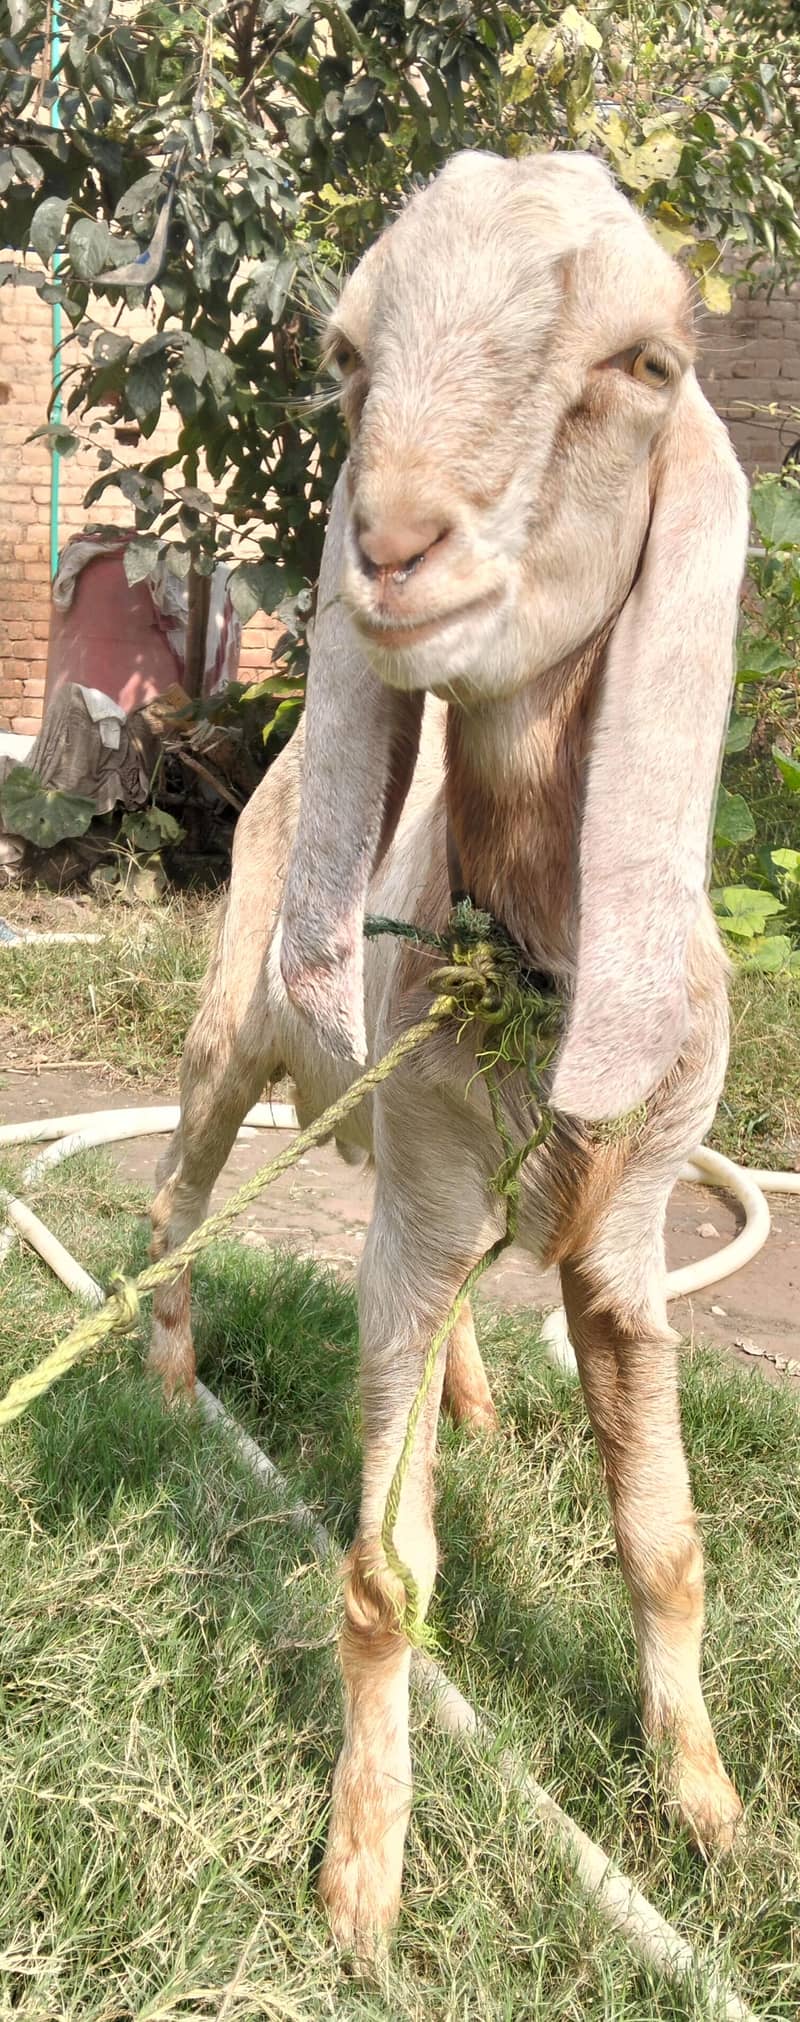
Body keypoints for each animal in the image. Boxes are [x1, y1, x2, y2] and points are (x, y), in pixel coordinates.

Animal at [149, 149, 749, 1952]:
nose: (394, 550)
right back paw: (174, 1374)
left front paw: (708, 1814)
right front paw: (362, 1875)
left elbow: (666, 1543)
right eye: (347, 356)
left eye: (646, 363)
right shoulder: (416, 1215)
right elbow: (380, 1573)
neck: (530, 962)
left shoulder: (629, 1237)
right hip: (233, 1035)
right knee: (179, 1195)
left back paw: (477, 1404)